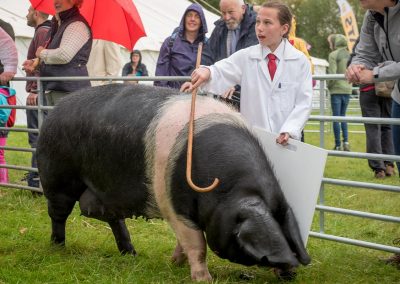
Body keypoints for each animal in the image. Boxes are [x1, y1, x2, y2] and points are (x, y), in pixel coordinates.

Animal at [37, 83, 310, 280]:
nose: (290, 267)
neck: (227, 188)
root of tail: (53, 112)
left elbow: (184, 241)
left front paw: (173, 263)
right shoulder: (173, 204)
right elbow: (197, 245)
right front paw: (204, 279)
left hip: (102, 191)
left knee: (109, 217)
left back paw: (131, 254)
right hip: (57, 177)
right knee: (58, 213)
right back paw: (58, 248)